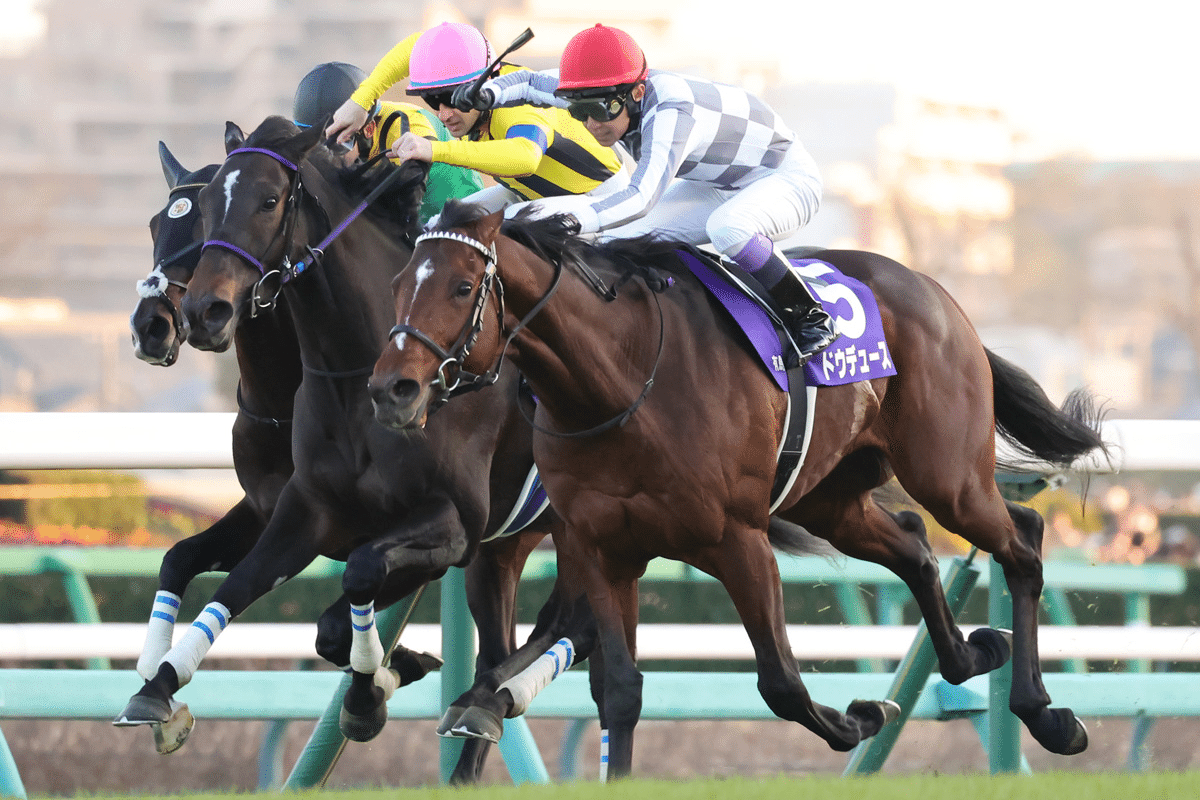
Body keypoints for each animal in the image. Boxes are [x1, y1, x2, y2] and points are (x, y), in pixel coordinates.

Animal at [115, 119, 567, 784]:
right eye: (159, 225)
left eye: (268, 201)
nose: (176, 318)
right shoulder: (295, 511)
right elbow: (208, 572)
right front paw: (157, 688)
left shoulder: (447, 530)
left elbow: (350, 594)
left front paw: (376, 688)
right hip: (504, 550)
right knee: (502, 648)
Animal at [367, 200, 1108, 779]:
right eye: (399, 281)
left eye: (463, 286)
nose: (391, 389)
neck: (621, 381)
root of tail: (936, 293)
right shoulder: (601, 547)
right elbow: (620, 690)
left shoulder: (737, 538)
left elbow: (780, 682)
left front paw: (861, 716)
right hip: (832, 499)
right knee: (915, 546)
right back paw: (974, 652)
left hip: (948, 475)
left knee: (1022, 540)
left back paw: (1047, 715)